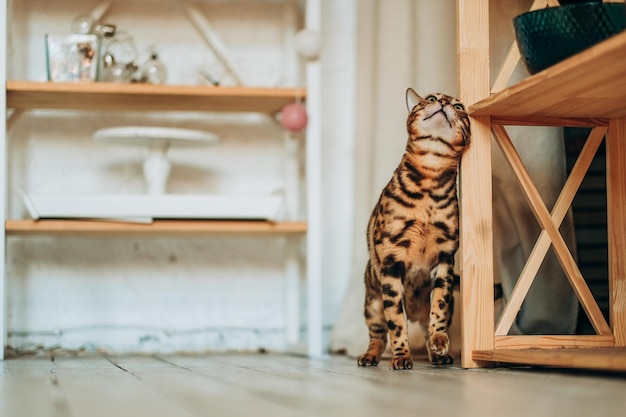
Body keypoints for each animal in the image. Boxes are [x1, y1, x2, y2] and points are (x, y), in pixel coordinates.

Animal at [356, 88, 468, 368]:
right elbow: (396, 322)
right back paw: (370, 356)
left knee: (427, 325)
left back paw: (438, 354)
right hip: (372, 306)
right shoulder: (392, 261)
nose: (443, 102)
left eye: (459, 106)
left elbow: (438, 305)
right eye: (430, 98)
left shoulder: (445, 258)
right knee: (379, 335)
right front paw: (402, 356)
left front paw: (439, 339)